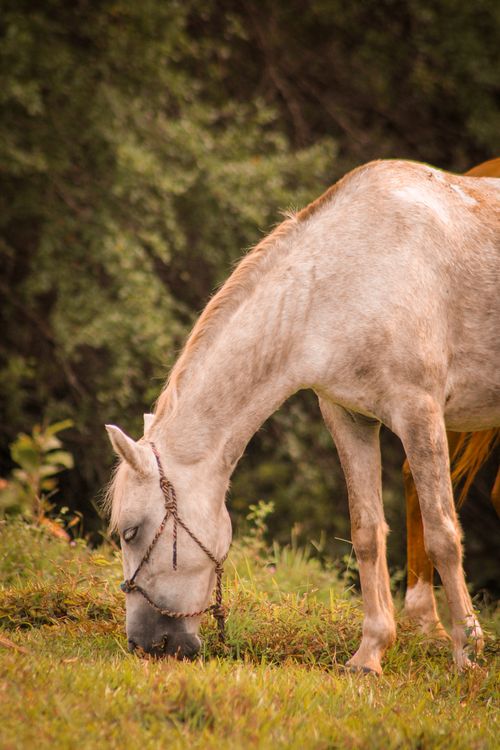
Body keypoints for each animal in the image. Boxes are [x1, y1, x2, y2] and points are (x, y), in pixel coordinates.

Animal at [106, 158, 500, 673]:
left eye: (131, 532)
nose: (145, 644)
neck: (351, 273)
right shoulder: (349, 417)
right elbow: (367, 532)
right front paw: (369, 653)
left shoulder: (420, 412)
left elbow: (443, 535)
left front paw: (466, 653)